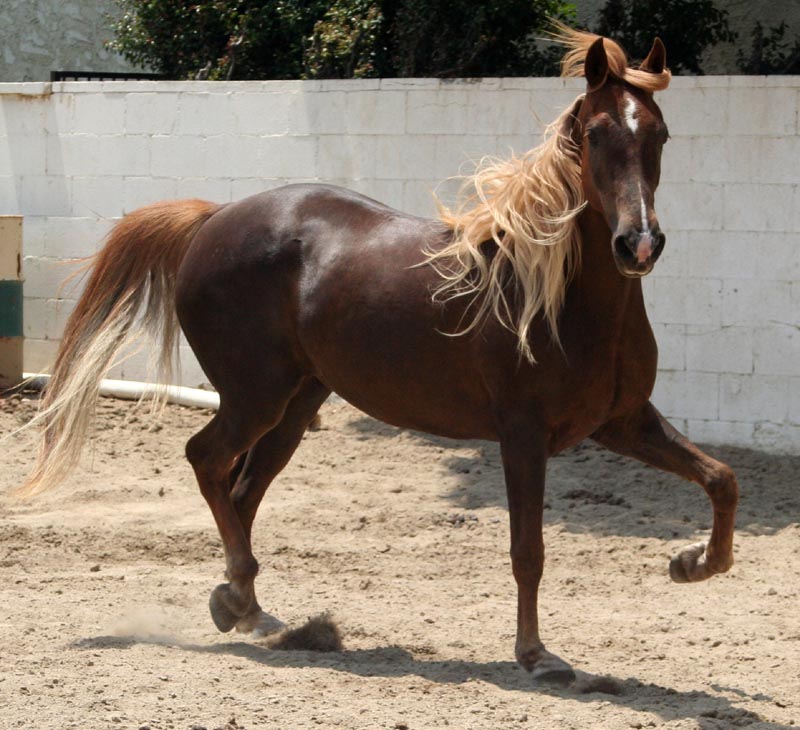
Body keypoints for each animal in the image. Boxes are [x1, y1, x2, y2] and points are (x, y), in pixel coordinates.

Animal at [23, 28, 736, 684]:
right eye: (593, 134)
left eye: (660, 135)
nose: (638, 244)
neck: (556, 295)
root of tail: (214, 218)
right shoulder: (522, 436)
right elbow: (527, 550)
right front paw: (535, 655)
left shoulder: (622, 422)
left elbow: (720, 477)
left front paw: (694, 563)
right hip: (255, 397)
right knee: (206, 460)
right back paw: (241, 596)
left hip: (295, 405)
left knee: (242, 488)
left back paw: (244, 605)